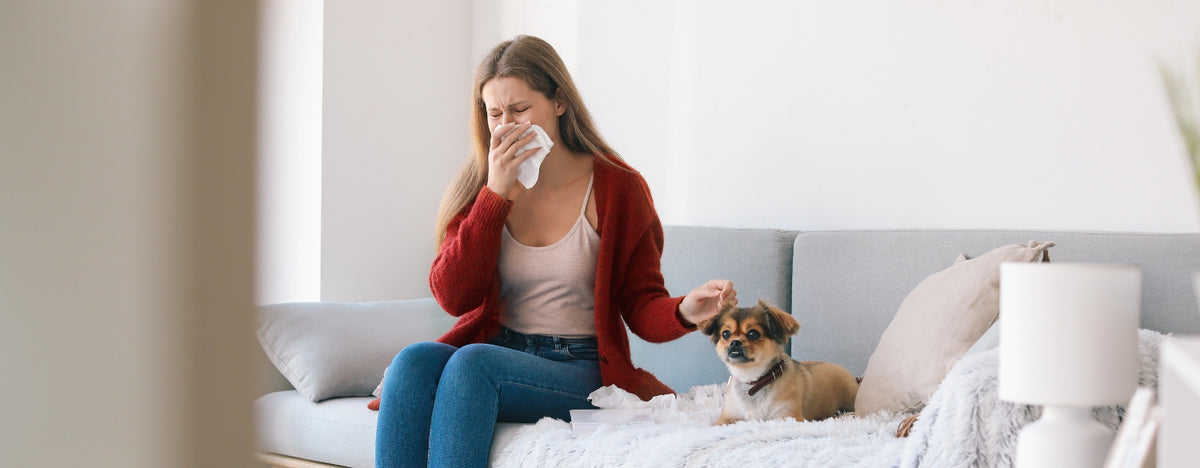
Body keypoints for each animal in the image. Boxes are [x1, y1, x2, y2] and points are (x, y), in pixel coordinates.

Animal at [700, 300, 859, 424]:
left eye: (753, 333)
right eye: (725, 334)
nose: (734, 342)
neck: (753, 382)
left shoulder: (787, 417)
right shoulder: (728, 418)